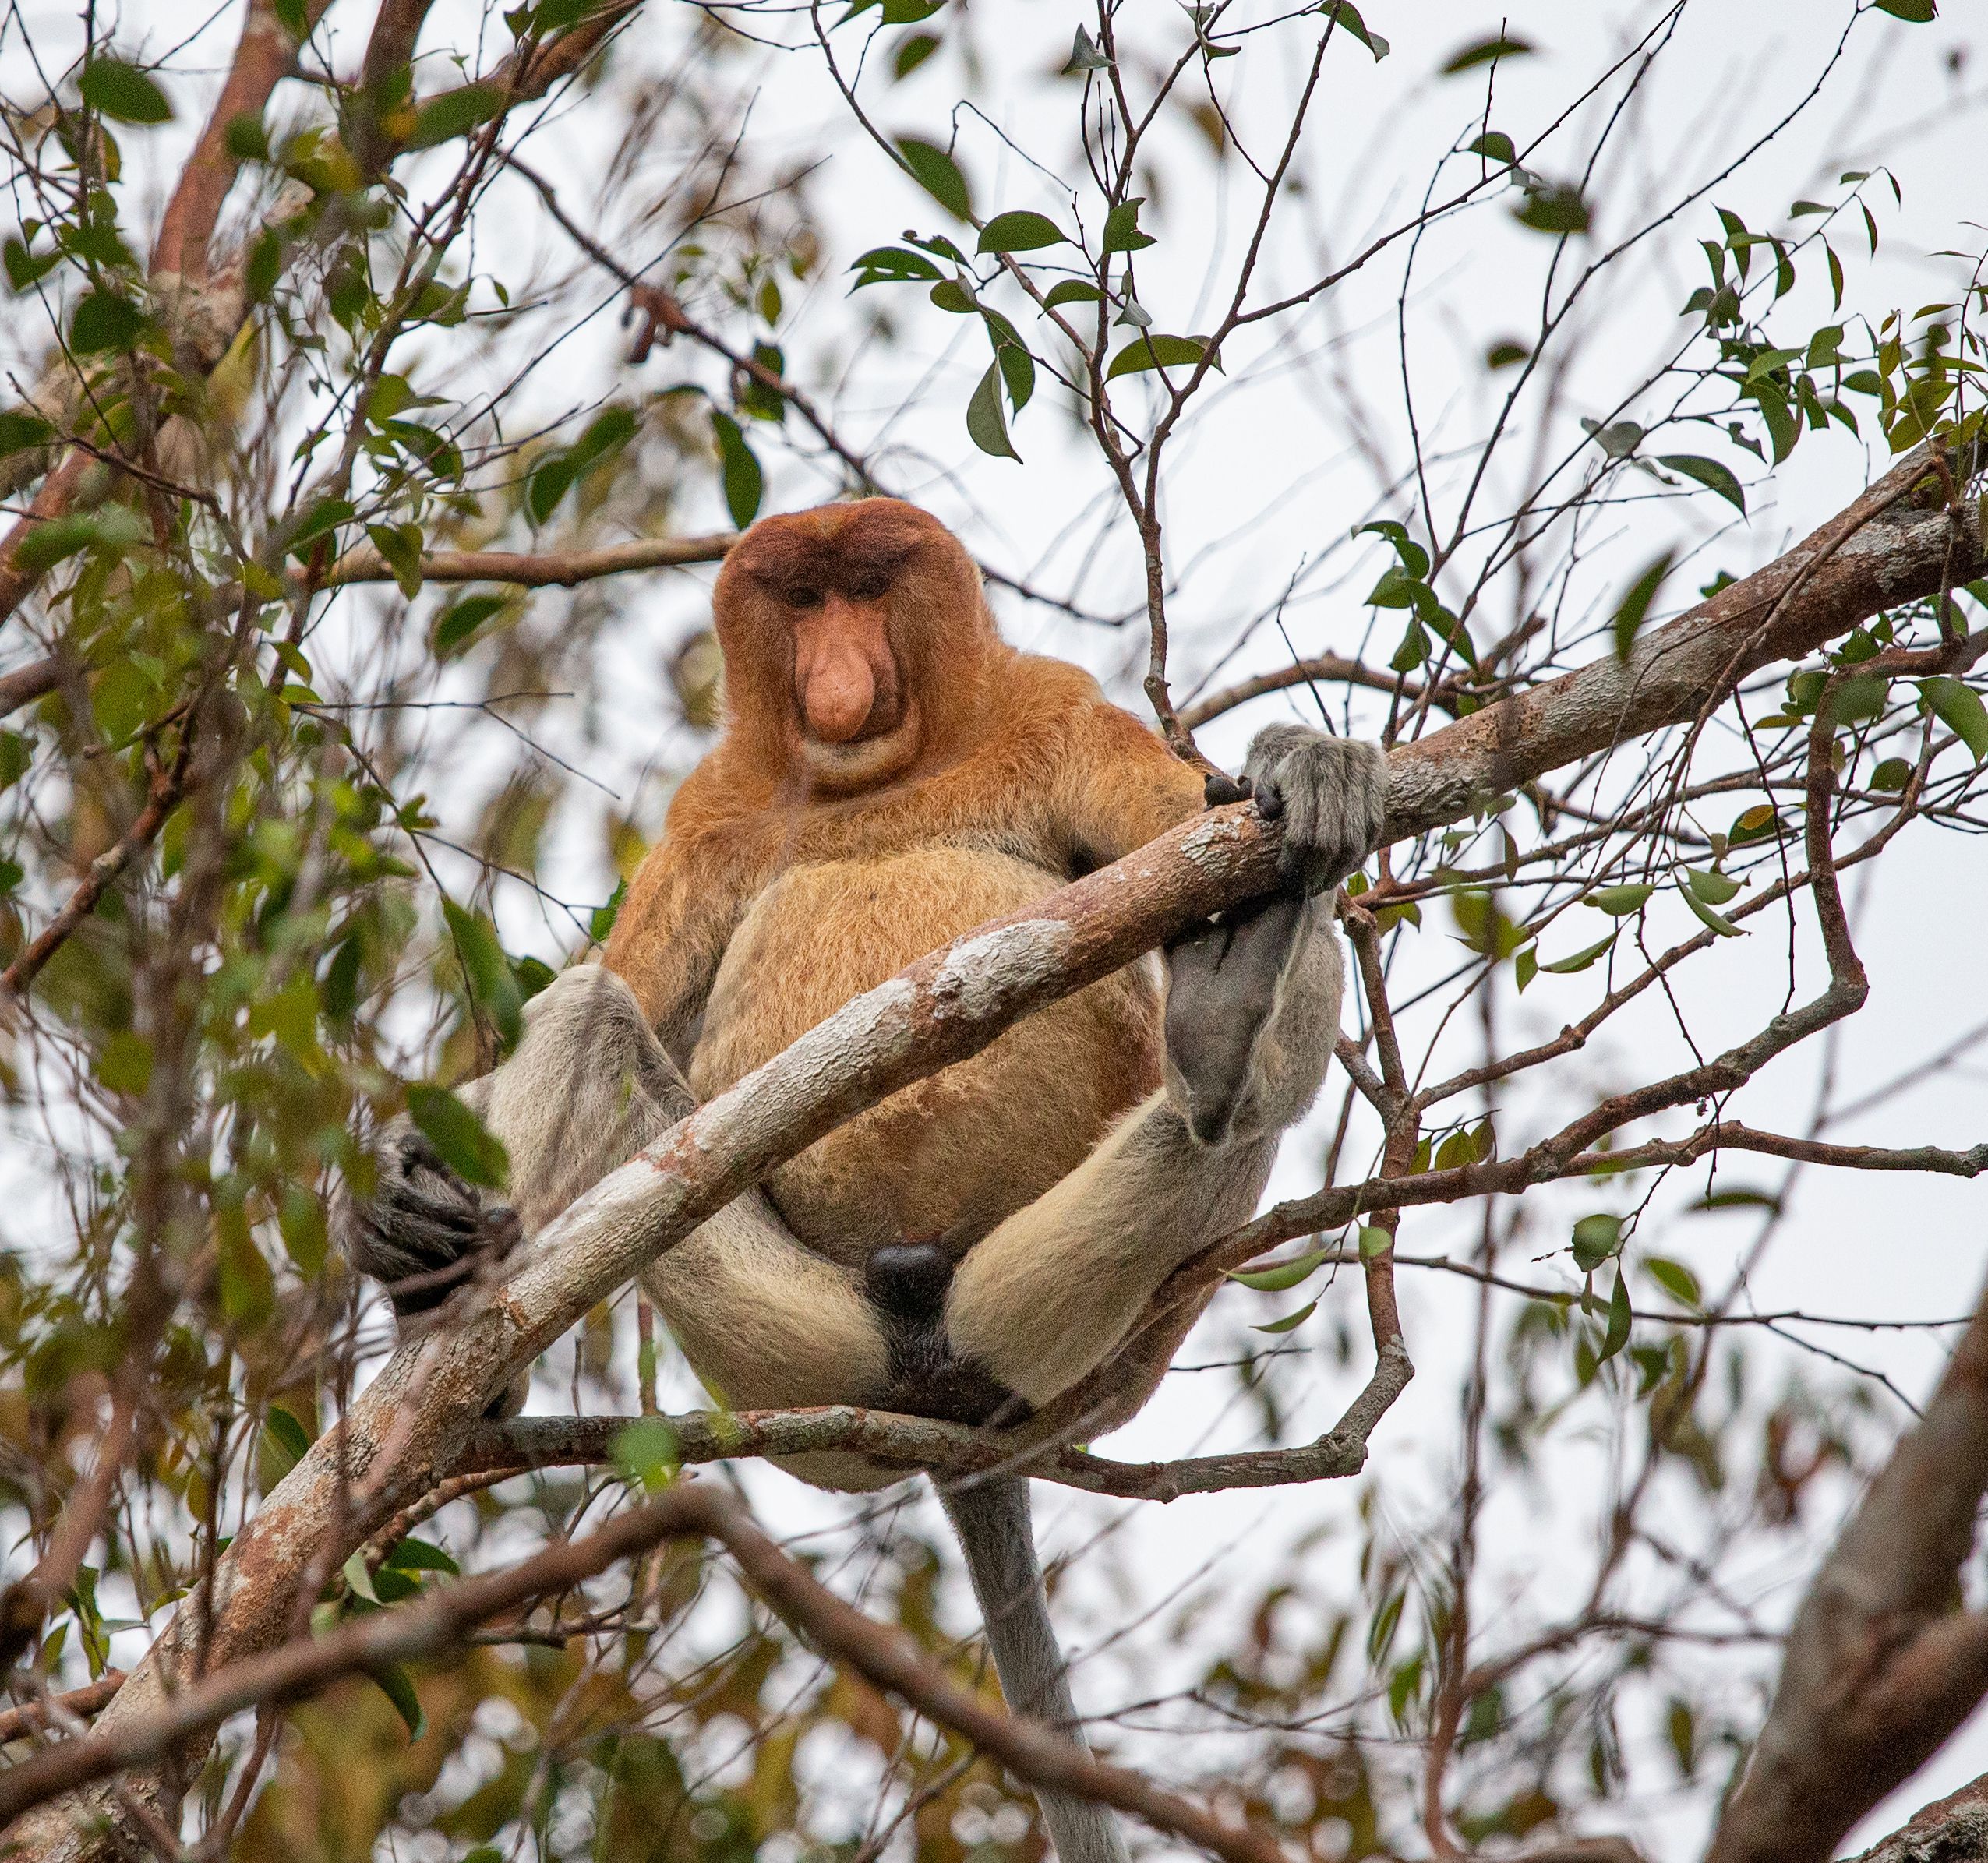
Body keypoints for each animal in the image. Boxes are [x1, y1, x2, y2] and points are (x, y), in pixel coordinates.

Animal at [338, 498, 1388, 1863]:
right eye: (801, 599)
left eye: (868, 585)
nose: (834, 676)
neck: (880, 773)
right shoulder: (711, 812)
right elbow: (628, 987)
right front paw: (395, 1201)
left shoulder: (1057, 713)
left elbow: (1181, 816)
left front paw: (1309, 763)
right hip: (789, 1354)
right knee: (593, 1016)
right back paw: (454, 1337)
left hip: (1105, 1363)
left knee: (1233, 1107)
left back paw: (1219, 1027)